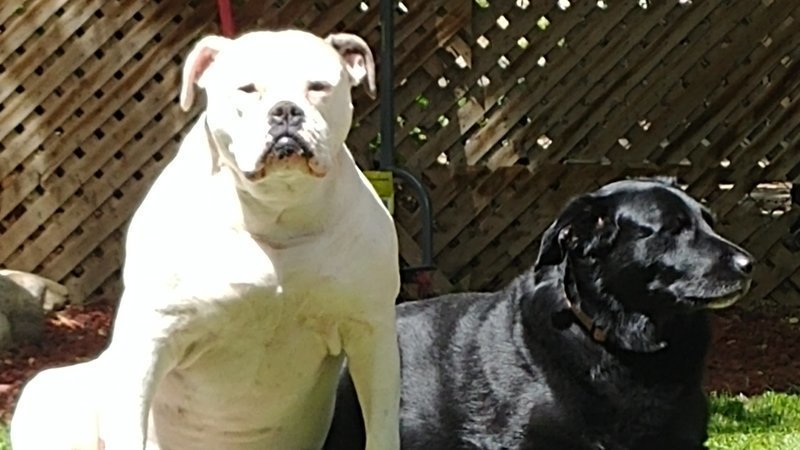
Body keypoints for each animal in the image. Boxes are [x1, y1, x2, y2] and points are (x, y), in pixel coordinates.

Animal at [11, 29, 401, 450]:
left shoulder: (371, 334)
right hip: (47, 388)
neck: (275, 212)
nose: (285, 111)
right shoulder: (151, 336)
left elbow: (381, 425)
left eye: (318, 87)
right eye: (247, 89)